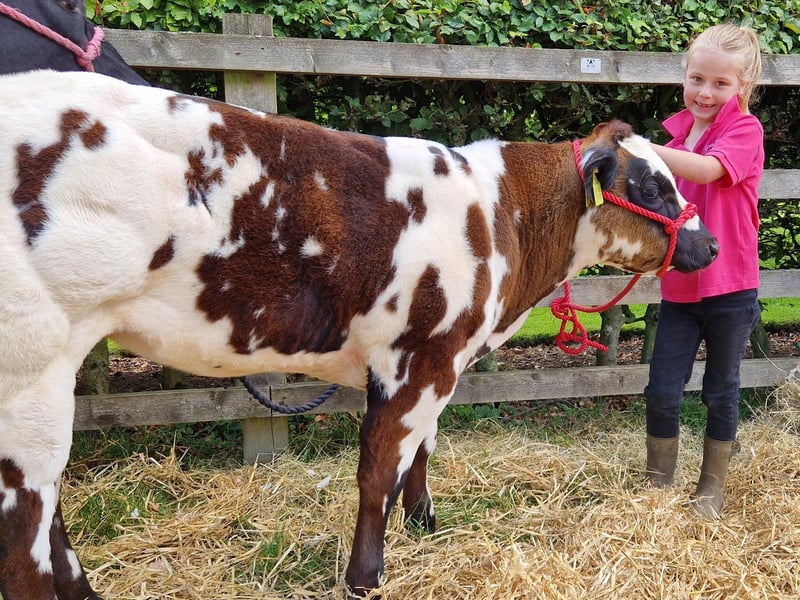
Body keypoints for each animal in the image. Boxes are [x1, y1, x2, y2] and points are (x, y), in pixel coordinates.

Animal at [0, 69, 719, 599]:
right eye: (650, 185)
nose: (708, 244)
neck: (502, 214)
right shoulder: (420, 357)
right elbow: (380, 471)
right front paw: (365, 578)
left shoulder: (439, 364)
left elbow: (423, 451)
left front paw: (425, 523)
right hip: (30, 367)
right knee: (25, 529)